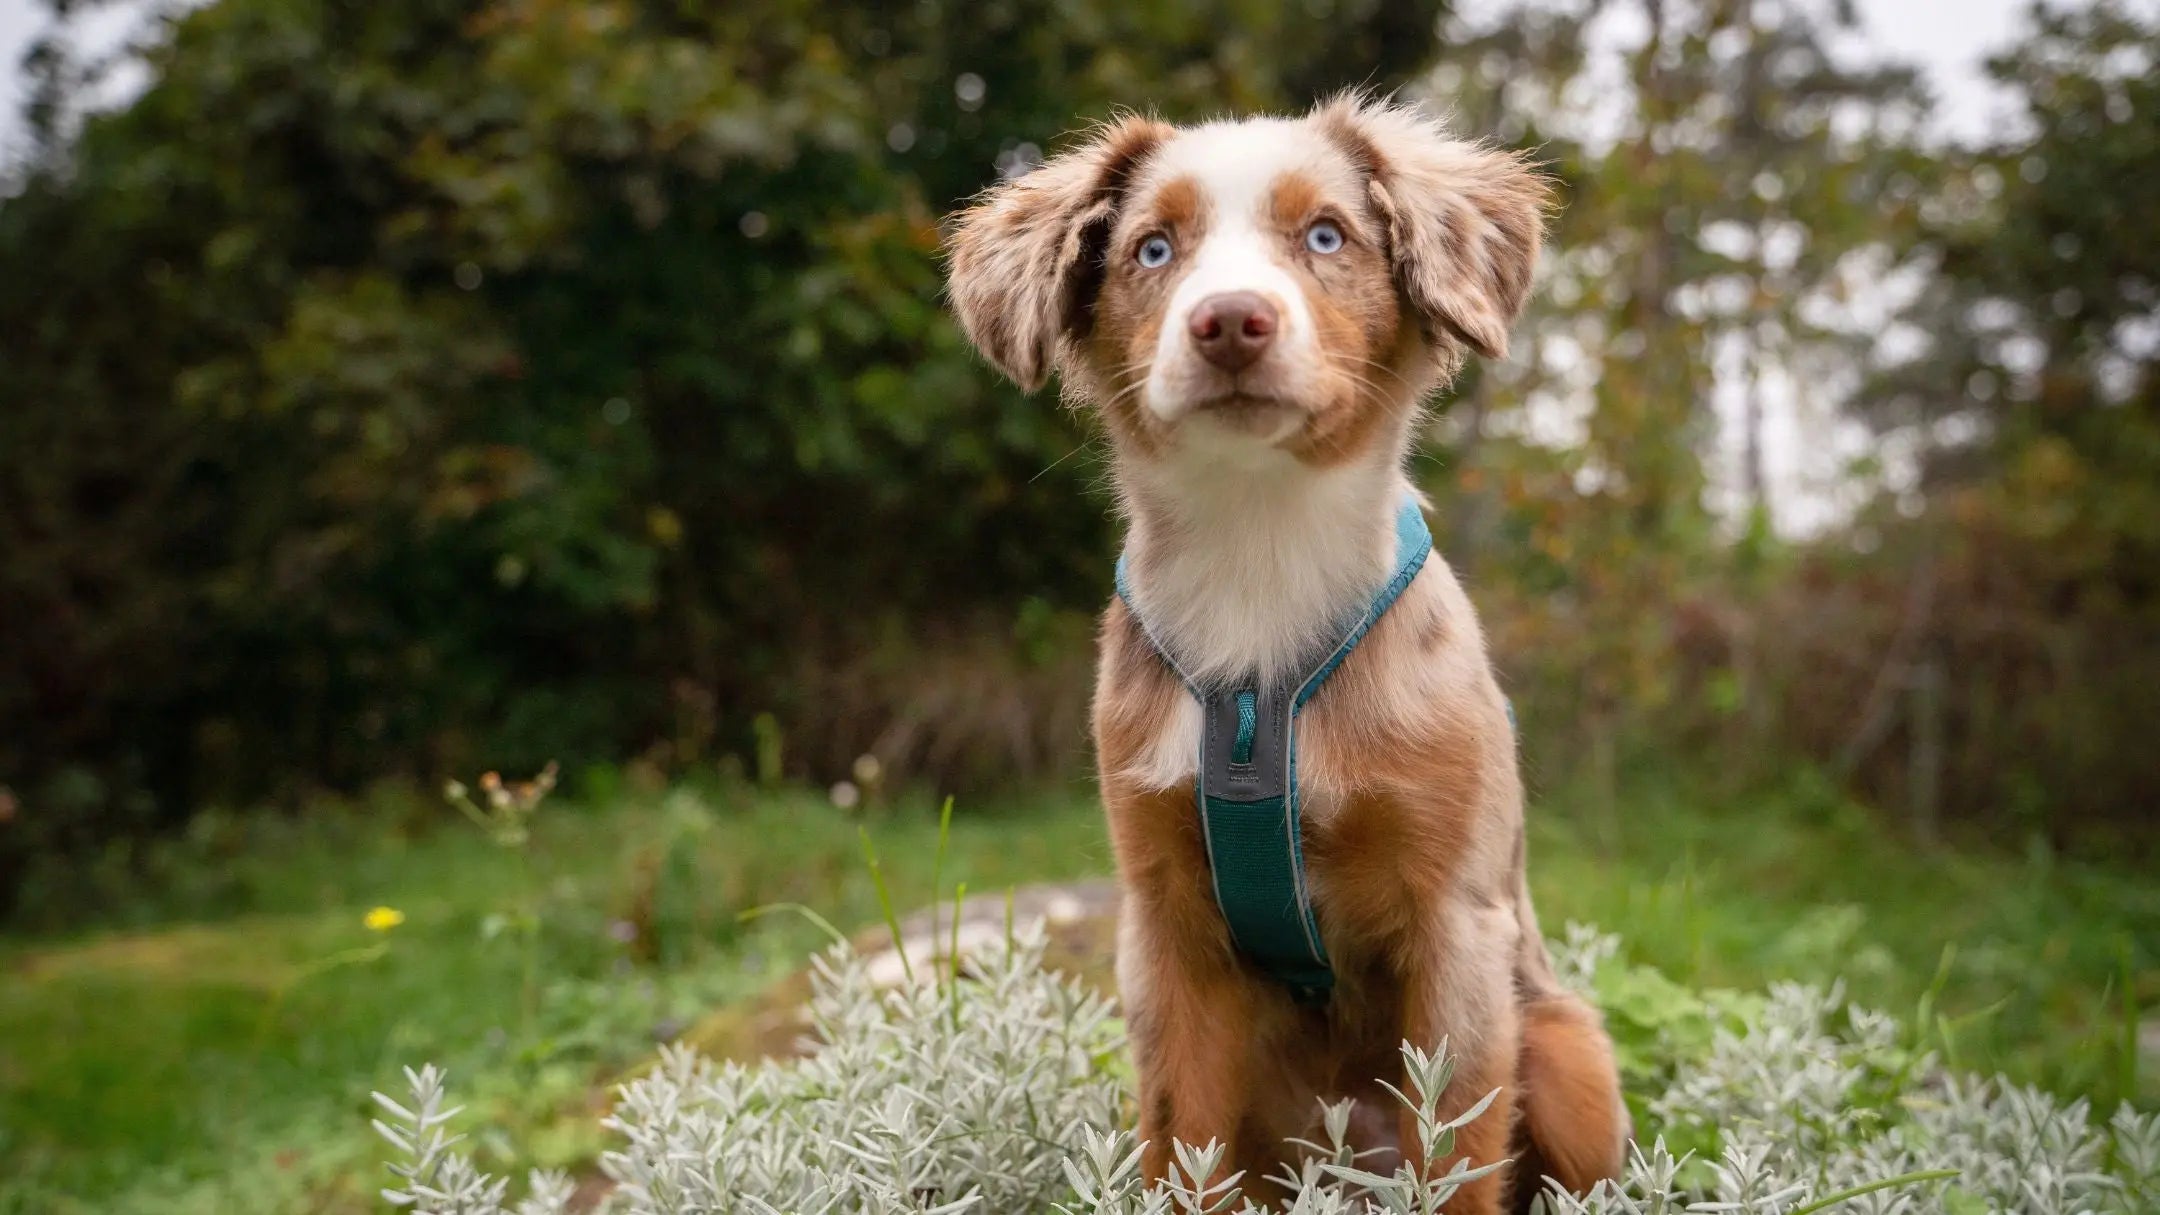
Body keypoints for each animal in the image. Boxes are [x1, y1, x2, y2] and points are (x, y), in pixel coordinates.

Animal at [946, 96, 1624, 1210]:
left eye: (1327, 237)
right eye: (1153, 249)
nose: (1229, 321)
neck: (1259, 557)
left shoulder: (1457, 924)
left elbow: (1459, 1153)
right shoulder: (1166, 930)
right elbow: (1183, 1147)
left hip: (1573, 1054)